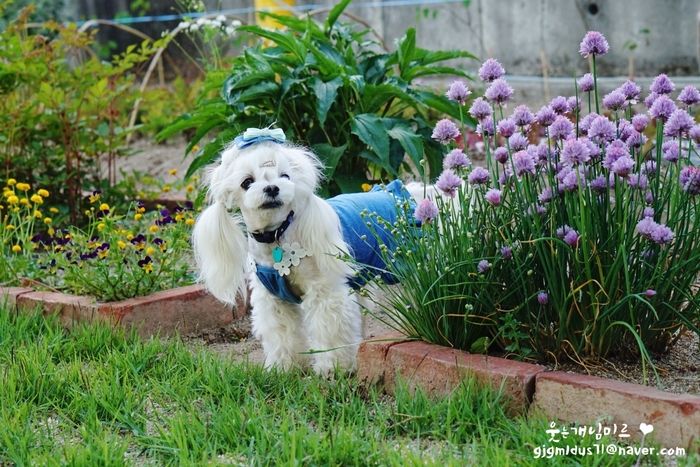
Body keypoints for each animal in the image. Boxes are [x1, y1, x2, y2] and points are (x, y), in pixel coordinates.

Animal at [191, 129, 416, 376]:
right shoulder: (274, 298)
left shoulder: (325, 291)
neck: (277, 235)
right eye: (247, 182)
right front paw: (282, 367)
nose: (272, 188)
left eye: (285, 176)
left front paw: (332, 368)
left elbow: (329, 330)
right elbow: (282, 334)